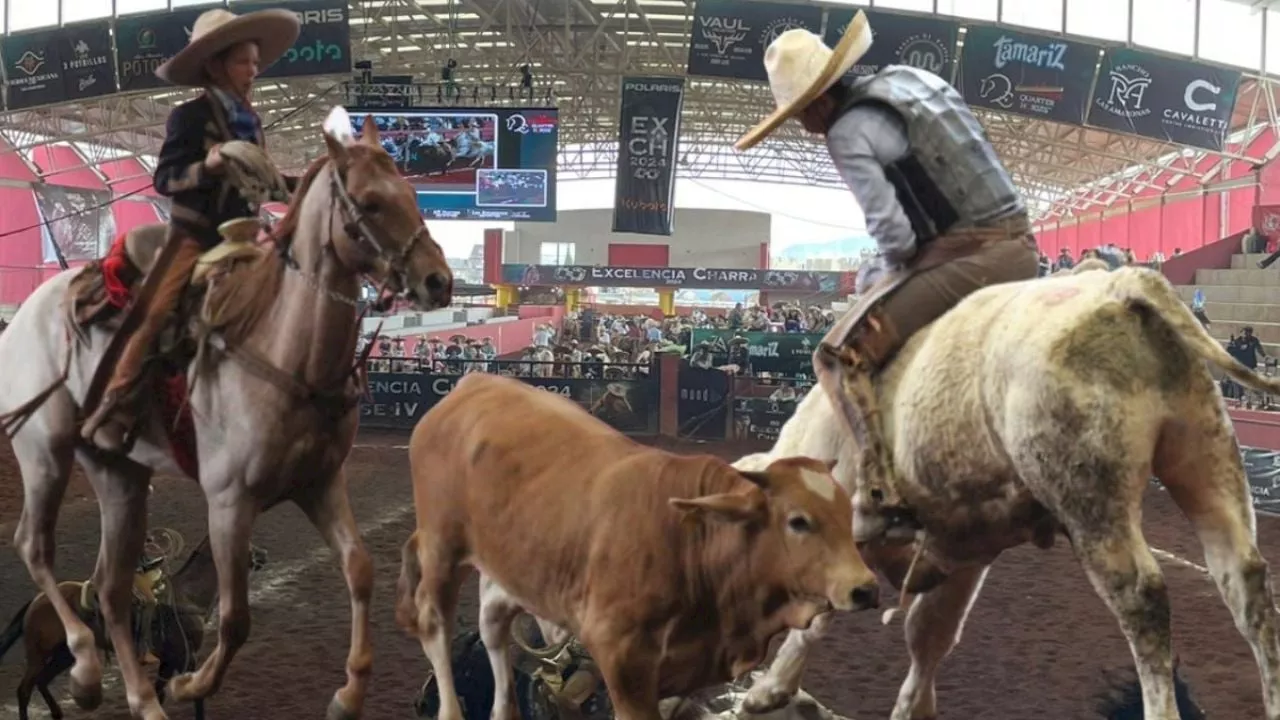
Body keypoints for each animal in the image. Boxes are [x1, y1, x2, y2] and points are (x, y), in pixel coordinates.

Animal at [0, 107, 455, 717]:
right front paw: (189, 683)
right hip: (43, 450)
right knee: (35, 547)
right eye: (370, 202)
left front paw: (349, 691)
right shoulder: (229, 502)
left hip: (118, 471)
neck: (285, 353)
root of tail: (28, 313)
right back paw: (89, 671)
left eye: (412, 193)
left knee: (112, 588)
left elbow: (360, 569)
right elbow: (237, 617)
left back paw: (139, 697)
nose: (438, 280)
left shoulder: (320, 482)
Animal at [399, 371, 880, 717]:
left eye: (846, 514)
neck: (691, 541)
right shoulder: (624, 662)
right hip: (443, 550)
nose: (866, 588)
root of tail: (471, 384)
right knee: (435, 626)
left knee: (494, 627)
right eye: (798, 521)